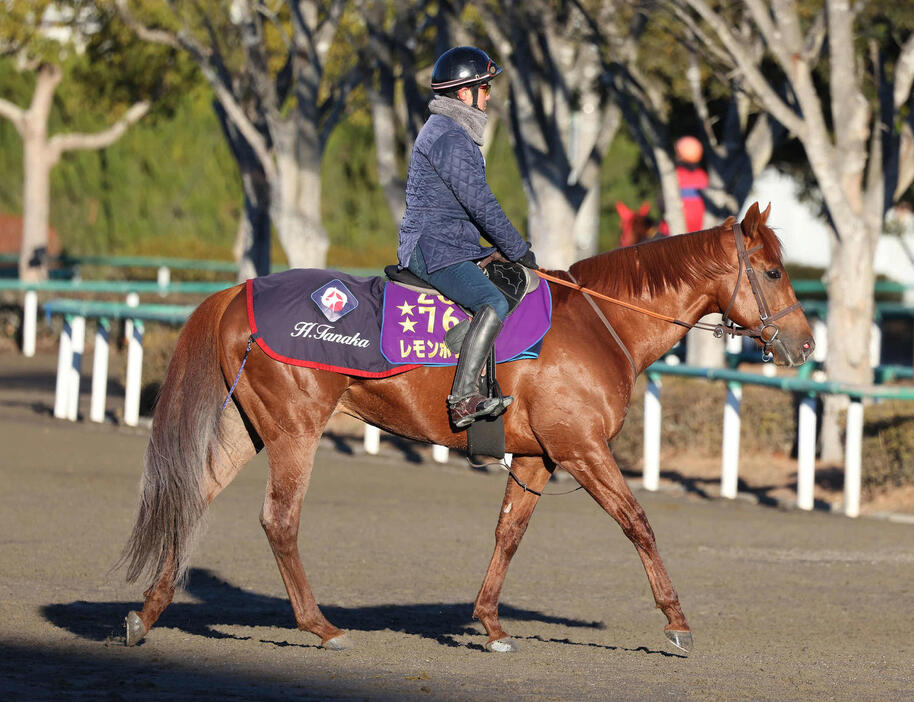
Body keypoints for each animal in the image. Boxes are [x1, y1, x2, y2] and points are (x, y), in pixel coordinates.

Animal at [119, 204, 812, 656]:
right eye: (773, 272)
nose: (804, 345)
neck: (599, 322)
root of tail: (238, 293)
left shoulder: (537, 458)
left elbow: (508, 535)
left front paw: (491, 624)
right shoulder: (583, 449)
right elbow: (637, 522)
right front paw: (676, 621)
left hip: (248, 429)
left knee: (195, 498)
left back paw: (146, 615)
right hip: (295, 432)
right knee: (279, 521)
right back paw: (321, 626)